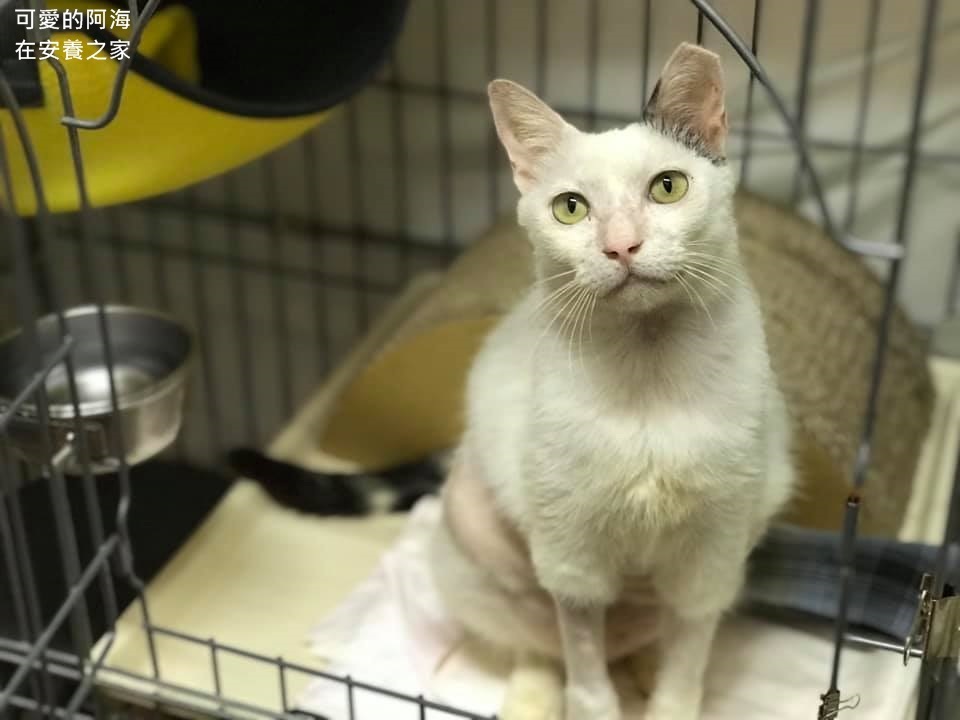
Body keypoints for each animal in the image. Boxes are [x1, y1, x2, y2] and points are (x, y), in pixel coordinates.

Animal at [427, 42, 795, 720]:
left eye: (668, 187)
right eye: (570, 207)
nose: (621, 245)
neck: (647, 368)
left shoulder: (713, 551)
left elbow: (688, 658)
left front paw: (670, 701)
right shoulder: (572, 557)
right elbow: (586, 672)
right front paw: (590, 700)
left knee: (655, 638)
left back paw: (644, 668)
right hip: (470, 550)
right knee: (538, 645)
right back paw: (531, 698)